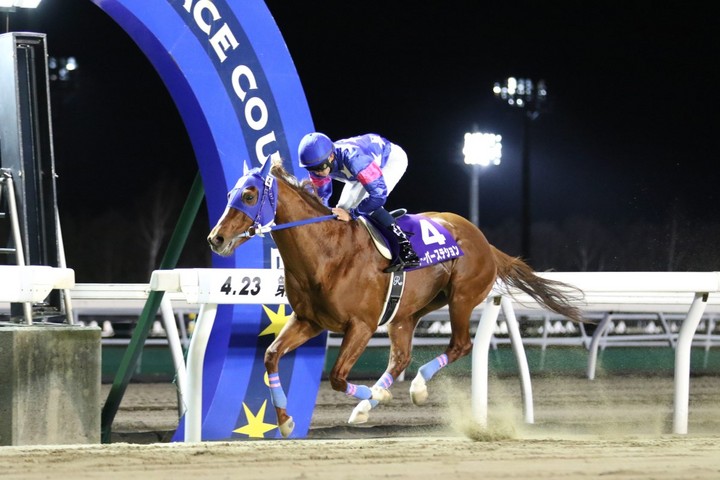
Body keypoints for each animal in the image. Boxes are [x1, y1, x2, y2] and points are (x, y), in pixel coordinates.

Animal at [207, 158, 583, 437]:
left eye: (250, 195)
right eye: (229, 193)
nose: (216, 238)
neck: (327, 252)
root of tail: (484, 241)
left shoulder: (360, 325)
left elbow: (337, 376)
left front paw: (377, 394)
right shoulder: (309, 321)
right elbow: (271, 356)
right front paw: (285, 421)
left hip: (462, 297)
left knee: (460, 344)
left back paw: (414, 389)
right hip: (406, 313)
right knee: (401, 357)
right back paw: (370, 406)